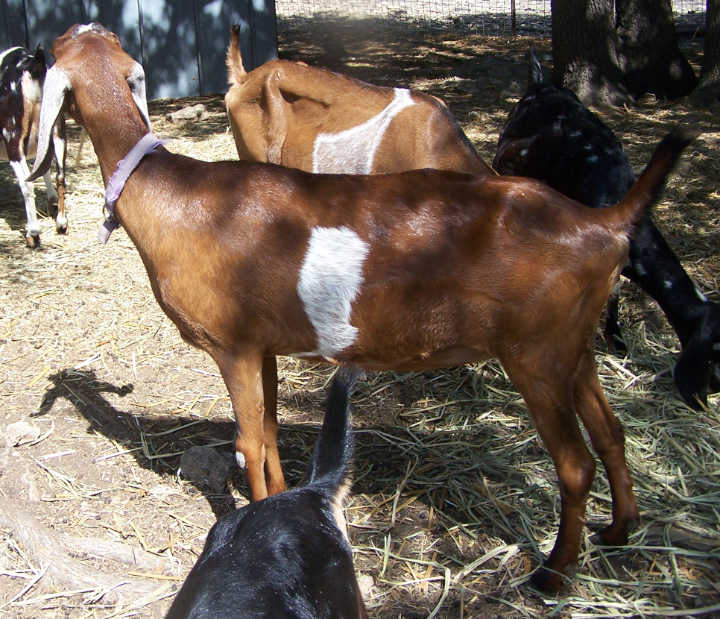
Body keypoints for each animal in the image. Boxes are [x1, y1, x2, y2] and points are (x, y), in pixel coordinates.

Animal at [0, 44, 66, 247]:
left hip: (12, 136)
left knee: (26, 183)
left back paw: (33, 233)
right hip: (57, 129)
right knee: (60, 175)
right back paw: (61, 222)